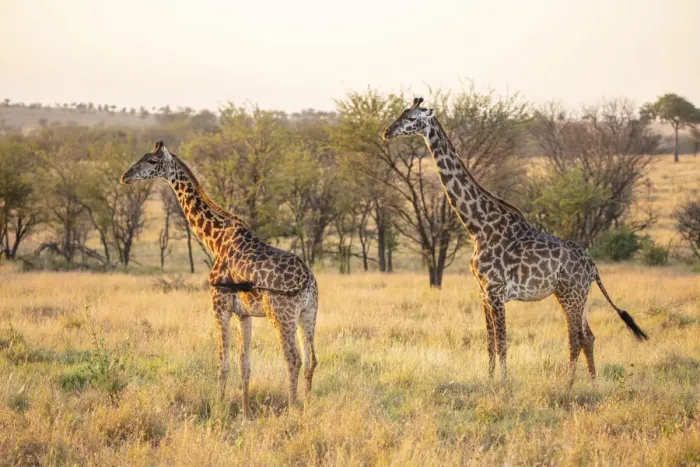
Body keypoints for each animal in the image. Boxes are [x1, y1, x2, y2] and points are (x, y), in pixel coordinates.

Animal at [120, 141, 318, 419]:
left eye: (151, 161)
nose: (125, 176)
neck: (214, 239)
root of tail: (308, 281)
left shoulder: (219, 305)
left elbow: (222, 364)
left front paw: (219, 411)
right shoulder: (243, 313)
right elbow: (244, 364)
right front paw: (245, 415)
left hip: (282, 315)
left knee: (294, 359)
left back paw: (292, 410)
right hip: (308, 314)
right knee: (311, 360)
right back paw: (308, 408)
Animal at [383, 98, 648, 384]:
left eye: (411, 118)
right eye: (401, 113)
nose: (386, 132)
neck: (477, 226)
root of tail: (593, 267)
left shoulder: (496, 291)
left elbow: (502, 343)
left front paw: (504, 383)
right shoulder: (483, 292)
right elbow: (489, 343)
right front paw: (489, 381)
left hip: (571, 295)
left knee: (575, 338)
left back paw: (567, 384)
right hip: (579, 296)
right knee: (588, 336)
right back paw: (592, 382)